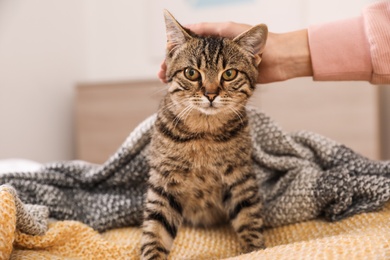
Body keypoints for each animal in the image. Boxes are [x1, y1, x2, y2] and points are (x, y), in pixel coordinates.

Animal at [141, 10, 268, 260]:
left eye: (229, 74)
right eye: (191, 73)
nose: (210, 94)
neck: (203, 134)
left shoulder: (240, 176)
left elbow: (249, 216)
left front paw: (256, 249)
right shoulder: (164, 181)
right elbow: (155, 228)